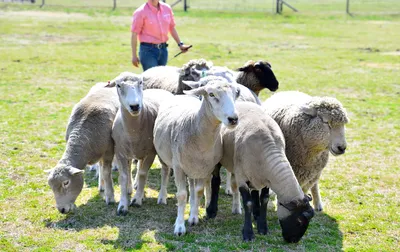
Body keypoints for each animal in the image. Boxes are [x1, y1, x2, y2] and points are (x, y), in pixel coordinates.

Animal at [45, 82, 119, 213]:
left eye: (66, 182)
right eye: (50, 185)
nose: (61, 209)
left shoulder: (108, 151)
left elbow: (106, 173)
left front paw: (110, 197)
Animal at [154, 77, 241, 236]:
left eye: (235, 93)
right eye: (211, 94)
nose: (233, 119)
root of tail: (181, 95)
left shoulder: (205, 168)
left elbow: (199, 191)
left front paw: (193, 217)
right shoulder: (178, 167)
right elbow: (182, 195)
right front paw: (179, 227)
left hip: (193, 168)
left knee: (193, 187)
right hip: (165, 158)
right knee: (165, 173)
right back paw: (162, 197)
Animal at [208, 102, 314, 242]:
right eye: (299, 221)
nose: (293, 240)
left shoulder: (267, 179)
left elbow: (264, 199)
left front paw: (262, 227)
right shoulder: (242, 177)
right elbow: (247, 203)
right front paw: (248, 233)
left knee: (254, 191)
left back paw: (256, 213)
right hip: (218, 158)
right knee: (215, 181)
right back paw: (211, 211)